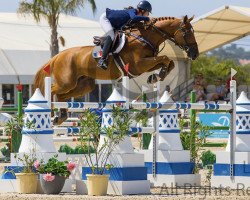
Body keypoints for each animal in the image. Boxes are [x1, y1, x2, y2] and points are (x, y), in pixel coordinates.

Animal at [33, 14, 199, 123]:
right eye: (187, 32)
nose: (195, 54)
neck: (145, 37)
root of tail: (57, 56)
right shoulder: (138, 65)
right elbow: (164, 58)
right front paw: (158, 75)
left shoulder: (145, 65)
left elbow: (169, 62)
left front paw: (157, 76)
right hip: (66, 82)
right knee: (52, 90)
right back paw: (50, 111)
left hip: (83, 85)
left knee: (62, 96)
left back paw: (60, 116)